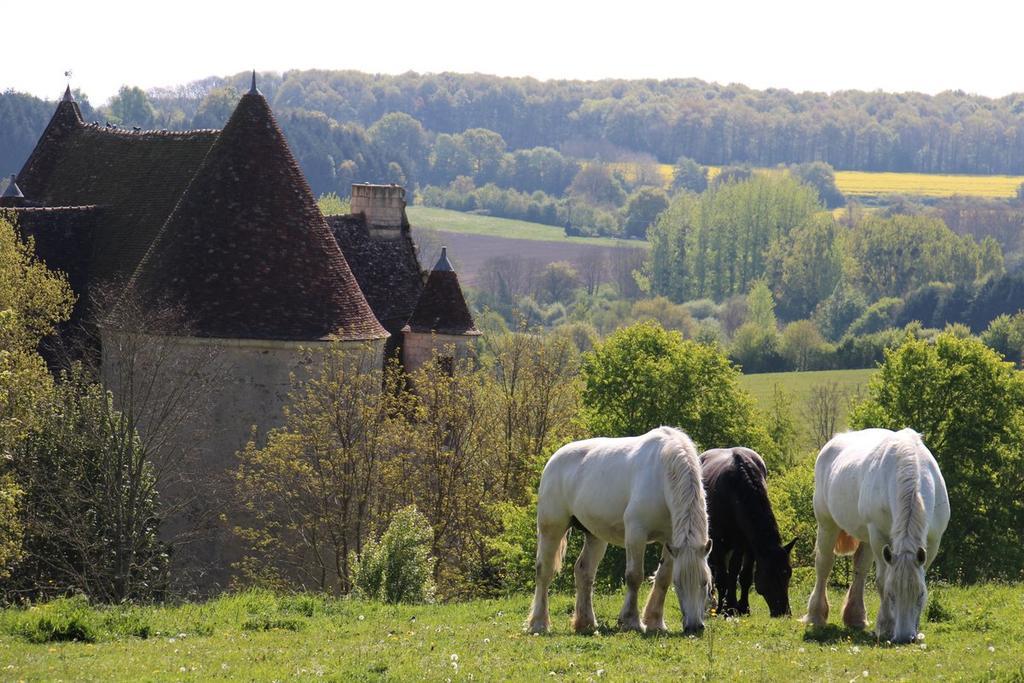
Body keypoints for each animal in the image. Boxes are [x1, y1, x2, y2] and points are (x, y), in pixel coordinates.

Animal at [528, 428, 712, 634]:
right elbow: (634, 576)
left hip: (594, 535)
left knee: (584, 571)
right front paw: (631, 621)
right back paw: (539, 623)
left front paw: (655, 622)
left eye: (705, 582)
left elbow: (663, 577)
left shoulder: (671, 540)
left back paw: (586, 623)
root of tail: (554, 459)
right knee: (544, 571)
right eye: (679, 584)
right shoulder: (636, 533)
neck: (662, 473)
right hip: (552, 528)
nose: (694, 627)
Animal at [700, 448, 794, 618]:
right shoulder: (718, 543)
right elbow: (723, 577)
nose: (784, 613)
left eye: (788, 573)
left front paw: (742, 607)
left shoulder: (747, 545)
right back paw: (713, 603)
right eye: (770, 574)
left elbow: (743, 576)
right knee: (713, 570)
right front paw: (726, 609)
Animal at [798, 430, 950, 643]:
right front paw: (885, 627)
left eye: (920, 595)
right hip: (828, 525)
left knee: (860, 570)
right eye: (892, 595)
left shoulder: (933, 542)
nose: (905, 637)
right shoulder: (879, 536)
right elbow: (882, 580)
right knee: (824, 566)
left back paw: (855, 618)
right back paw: (816, 615)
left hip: (866, 538)